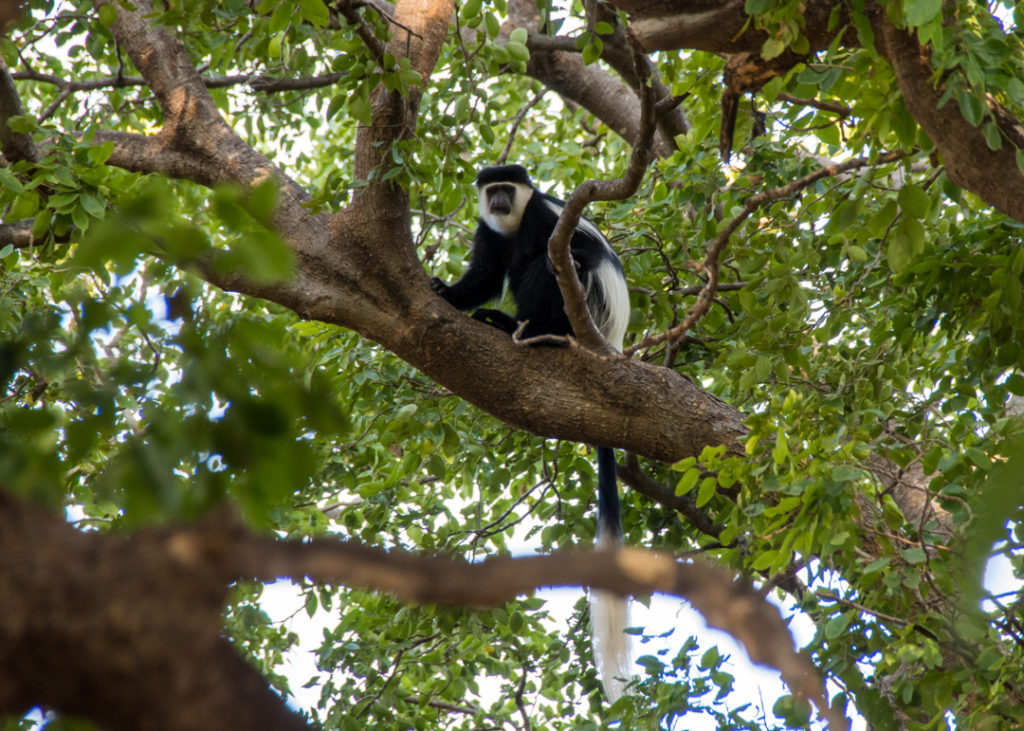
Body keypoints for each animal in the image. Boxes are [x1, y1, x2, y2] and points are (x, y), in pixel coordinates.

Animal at [430, 164, 630, 700]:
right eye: (492, 190)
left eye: (509, 188)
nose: (499, 199)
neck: (513, 221)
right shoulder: (488, 232)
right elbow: (482, 276)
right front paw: (445, 292)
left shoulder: (543, 215)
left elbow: (563, 250)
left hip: (582, 307)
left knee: (552, 268)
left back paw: (525, 328)